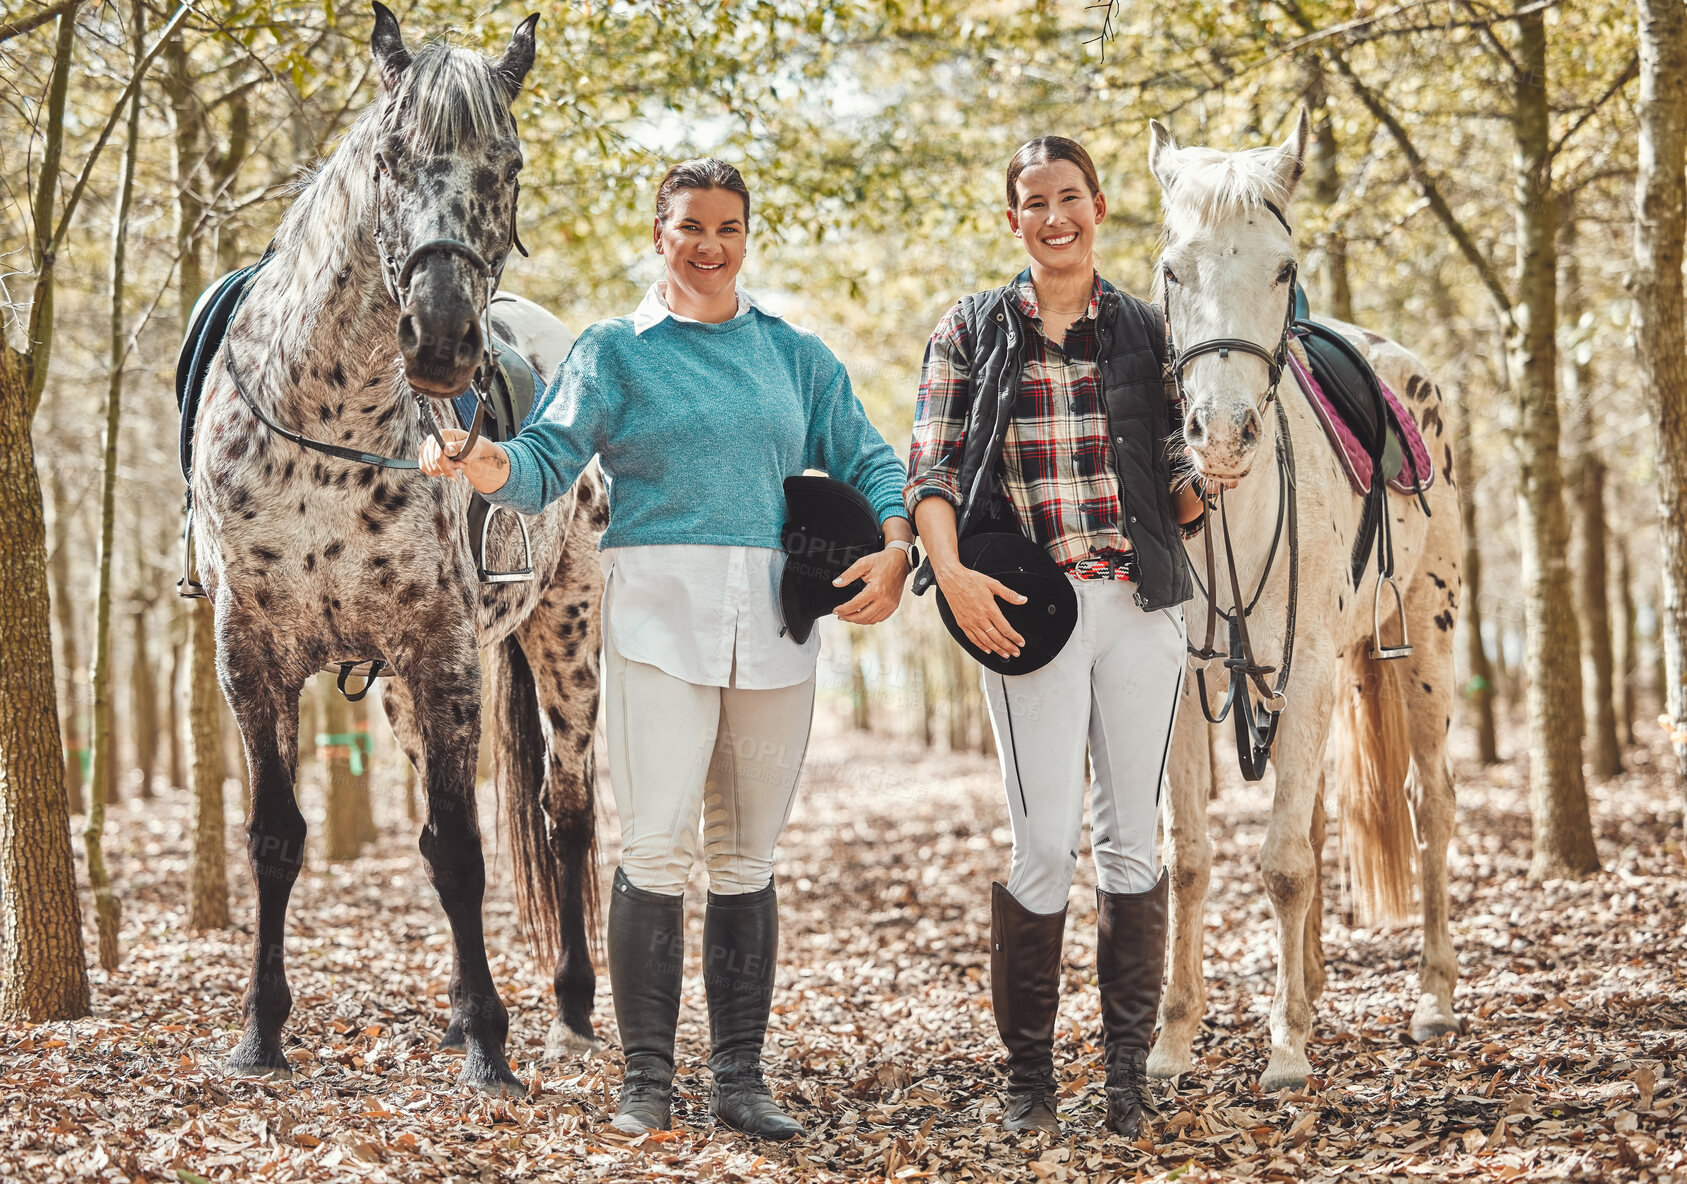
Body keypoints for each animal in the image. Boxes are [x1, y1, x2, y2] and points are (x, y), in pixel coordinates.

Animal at [191, 4, 607, 1099]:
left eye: (508, 162)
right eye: (389, 158)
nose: (442, 338)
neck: (322, 428)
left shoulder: (442, 647)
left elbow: (460, 847)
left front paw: (492, 1048)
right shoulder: (251, 653)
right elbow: (277, 838)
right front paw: (260, 1032)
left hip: (567, 632)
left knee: (567, 809)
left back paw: (572, 1008)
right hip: (404, 696)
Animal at [1147, 111, 1464, 1092]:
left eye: (1283, 268)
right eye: (1171, 268)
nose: (1220, 433)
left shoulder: (1317, 666)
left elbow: (1284, 862)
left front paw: (1285, 1049)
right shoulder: (1186, 684)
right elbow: (1188, 857)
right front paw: (1173, 1038)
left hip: (1425, 639)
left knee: (1428, 803)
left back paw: (1432, 997)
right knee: (1322, 816)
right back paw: (1318, 985)